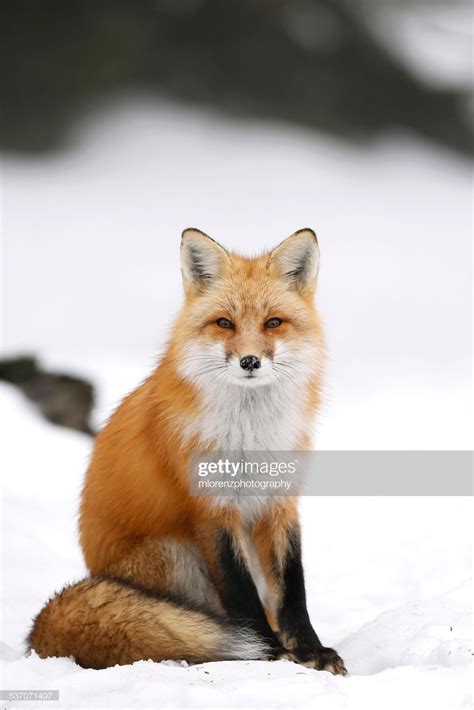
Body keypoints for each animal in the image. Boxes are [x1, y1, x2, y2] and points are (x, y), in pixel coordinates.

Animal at [30, 229, 348, 680]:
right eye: (224, 323)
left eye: (273, 322)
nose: (250, 361)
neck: (249, 438)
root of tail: (95, 573)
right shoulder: (211, 510)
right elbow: (241, 593)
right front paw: (269, 653)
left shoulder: (280, 502)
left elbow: (293, 587)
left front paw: (309, 650)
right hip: (173, 553)